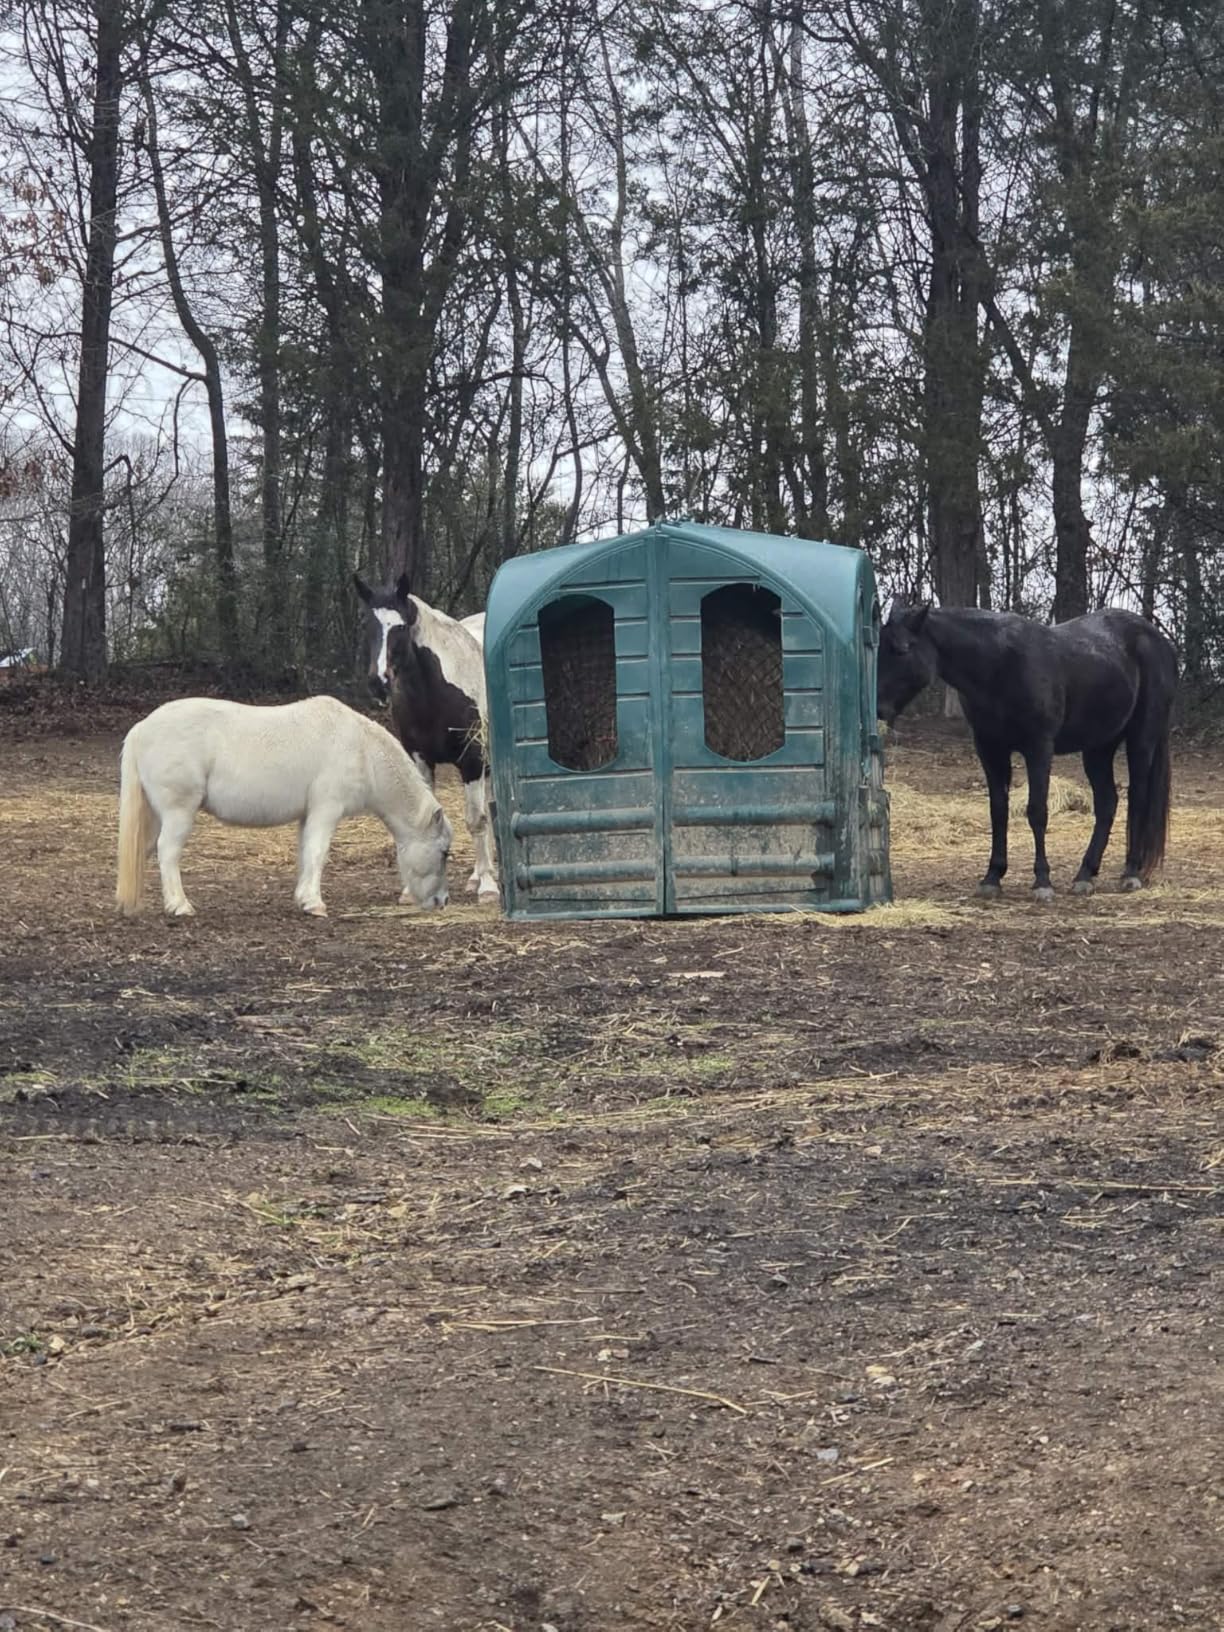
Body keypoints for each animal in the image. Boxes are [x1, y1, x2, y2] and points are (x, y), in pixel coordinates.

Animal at [115, 695, 452, 918]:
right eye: (444, 852)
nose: (442, 901)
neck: (362, 750)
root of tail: (141, 728)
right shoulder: (326, 810)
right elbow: (318, 853)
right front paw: (314, 904)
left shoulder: (308, 815)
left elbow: (305, 853)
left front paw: (303, 898)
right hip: (178, 813)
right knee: (167, 852)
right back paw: (179, 905)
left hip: (155, 816)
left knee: (145, 850)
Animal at [354, 573, 498, 901]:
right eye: (368, 625)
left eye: (400, 627)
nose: (378, 683)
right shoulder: (420, 760)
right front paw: (413, 890)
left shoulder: (471, 759)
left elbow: (476, 820)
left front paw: (488, 887)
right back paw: (476, 876)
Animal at [877, 602, 1178, 900]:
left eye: (902, 650)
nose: (879, 710)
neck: (998, 666)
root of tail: (1158, 640)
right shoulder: (990, 750)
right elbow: (998, 811)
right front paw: (992, 877)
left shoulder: (1039, 748)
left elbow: (1037, 811)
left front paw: (1042, 881)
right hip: (1098, 749)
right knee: (1107, 804)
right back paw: (1084, 875)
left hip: (1141, 740)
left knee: (1137, 798)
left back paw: (1130, 873)